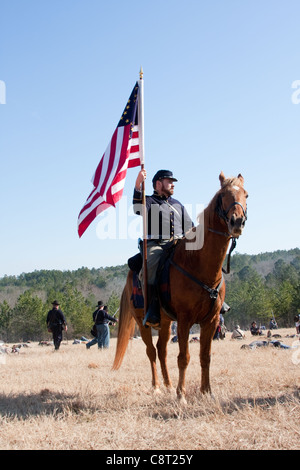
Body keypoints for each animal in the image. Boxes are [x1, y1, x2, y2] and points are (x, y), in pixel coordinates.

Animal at [112, 173, 248, 400]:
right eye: (223, 195)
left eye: (246, 194)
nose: (237, 221)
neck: (198, 264)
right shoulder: (185, 320)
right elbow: (184, 356)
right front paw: (181, 395)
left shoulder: (210, 321)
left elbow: (205, 356)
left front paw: (206, 392)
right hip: (142, 322)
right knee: (151, 352)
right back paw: (158, 386)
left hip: (166, 322)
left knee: (162, 350)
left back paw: (168, 384)